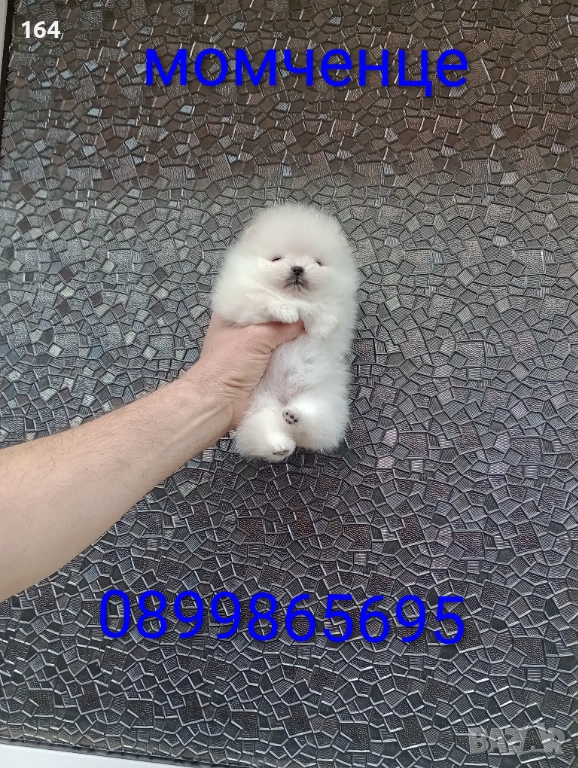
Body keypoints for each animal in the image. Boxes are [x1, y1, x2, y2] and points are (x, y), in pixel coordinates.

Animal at [211, 203, 358, 462]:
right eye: (276, 259)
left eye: (318, 262)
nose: (298, 268)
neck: (295, 297)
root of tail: (282, 403)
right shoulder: (237, 297)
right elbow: (263, 297)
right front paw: (287, 311)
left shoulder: (343, 303)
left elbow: (328, 309)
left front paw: (319, 324)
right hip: (257, 410)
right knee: (267, 432)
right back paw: (279, 446)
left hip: (325, 401)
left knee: (314, 427)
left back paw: (296, 417)